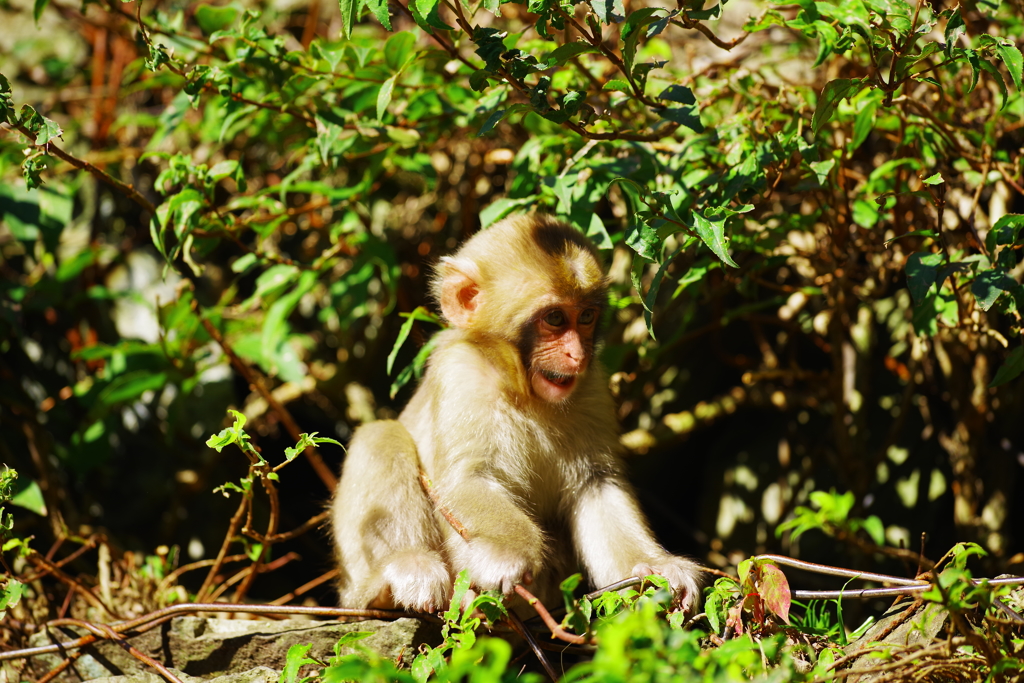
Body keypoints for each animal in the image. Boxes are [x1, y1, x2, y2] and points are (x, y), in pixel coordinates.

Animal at [331, 215, 700, 614]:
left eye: (586, 316)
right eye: (555, 319)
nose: (577, 355)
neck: (521, 391)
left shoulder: (593, 387)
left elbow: (596, 485)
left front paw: (657, 567)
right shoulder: (460, 373)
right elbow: (466, 480)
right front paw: (508, 555)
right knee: (380, 435)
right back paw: (398, 576)